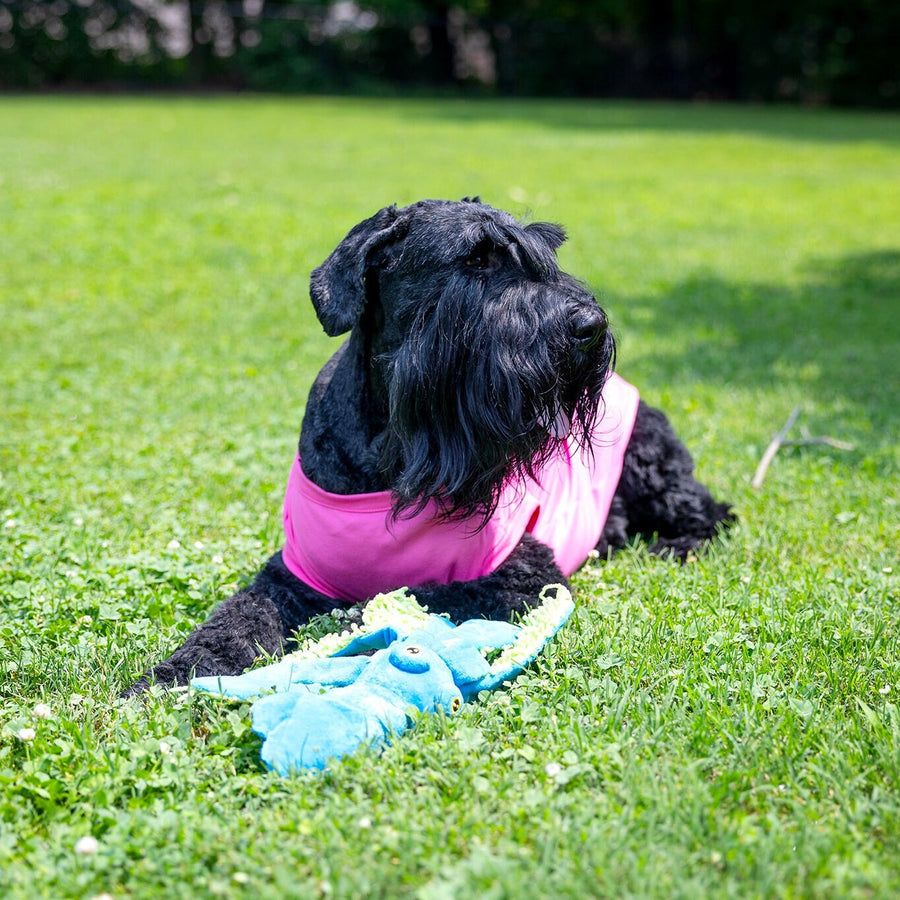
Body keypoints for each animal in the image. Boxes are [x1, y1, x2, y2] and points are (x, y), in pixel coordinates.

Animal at [125, 199, 732, 696]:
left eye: (544, 253)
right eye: (476, 261)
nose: (590, 324)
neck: (392, 453)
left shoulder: (522, 573)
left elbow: (420, 594)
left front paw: (352, 624)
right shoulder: (290, 575)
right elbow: (236, 616)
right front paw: (174, 673)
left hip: (651, 465)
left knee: (713, 514)